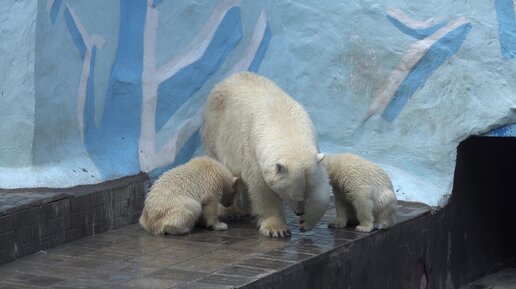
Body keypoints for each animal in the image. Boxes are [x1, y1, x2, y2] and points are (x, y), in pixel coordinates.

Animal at [200, 71, 328, 236]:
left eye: (306, 193)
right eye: (291, 194)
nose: (299, 212)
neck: (285, 124)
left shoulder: (313, 154)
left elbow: (322, 187)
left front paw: (306, 222)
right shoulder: (253, 150)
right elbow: (261, 188)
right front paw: (277, 229)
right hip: (216, 133)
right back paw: (233, 211)